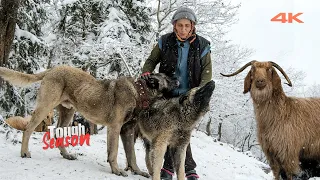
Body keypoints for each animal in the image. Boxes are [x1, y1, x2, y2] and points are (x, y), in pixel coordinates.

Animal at [0, 66, 179, 177]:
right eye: (166, 77)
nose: (178, 79)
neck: (139, 91)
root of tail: (53, 69)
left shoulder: (127, 131)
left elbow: (132, 155)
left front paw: (137, 171)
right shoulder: (115, 128)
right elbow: (113, 152)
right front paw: (116, 170)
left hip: (67, 113)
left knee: (58, 133)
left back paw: (66, 155)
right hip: (45, 107)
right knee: (28, 129)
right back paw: (24, 152)